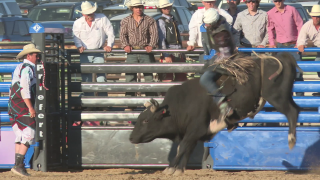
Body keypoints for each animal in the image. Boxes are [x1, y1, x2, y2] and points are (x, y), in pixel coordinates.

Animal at [129, 51, 302, 174]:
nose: (131, 137)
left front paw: (170, 168)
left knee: (292, 112)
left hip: (276, 96)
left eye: (145, 120)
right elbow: (187, 149)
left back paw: (292, 140)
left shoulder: (196, 128)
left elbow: (182, 146)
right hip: (285, 95)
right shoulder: (195, 134)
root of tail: (281, 57)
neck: (179, 105)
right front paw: (180, 169)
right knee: (297, 109)